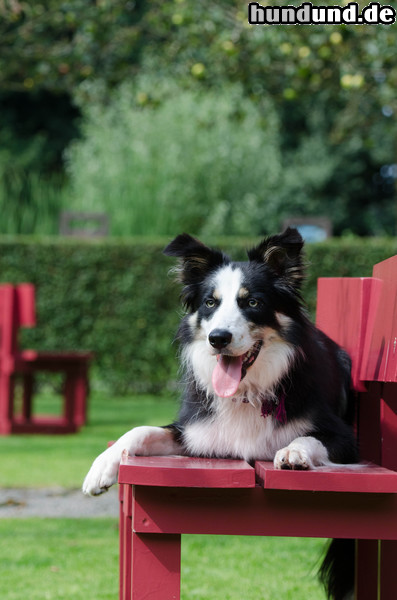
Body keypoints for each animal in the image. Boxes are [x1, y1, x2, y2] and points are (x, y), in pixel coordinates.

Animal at [82, 227, 358, 596]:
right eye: (210, 303)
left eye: (252, 302)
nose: (218, 338)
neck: (247, 393)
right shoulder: (196, 432)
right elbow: (141, 430)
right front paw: (100, 468)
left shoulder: (347, 440)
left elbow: (310, 439)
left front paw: (293, 453)